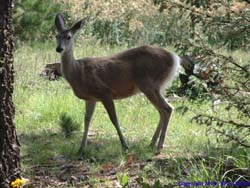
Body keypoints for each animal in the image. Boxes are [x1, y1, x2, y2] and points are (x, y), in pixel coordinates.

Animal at [54, 13, 181, 154]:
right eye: (56, 36)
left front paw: (125, 146)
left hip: (148, 83)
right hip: (157, 86)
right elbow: (87, 119)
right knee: (163, 111)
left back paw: (159, 146)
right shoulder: (91, 98)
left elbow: (114, 118)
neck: (78, 72)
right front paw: (81, 148)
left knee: (167, 109)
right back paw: (151, 144)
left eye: (69, 37)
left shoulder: (104, 91)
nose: (59, 48)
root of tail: (174, 58)